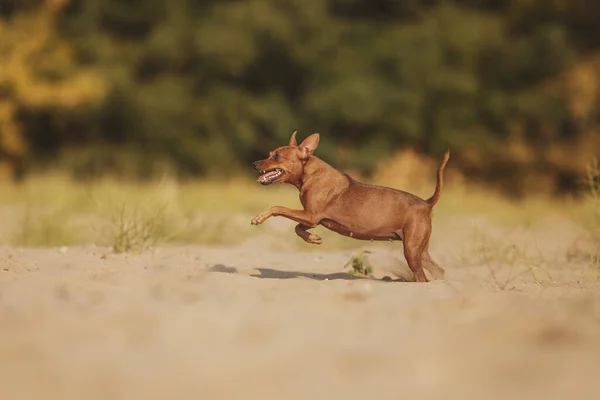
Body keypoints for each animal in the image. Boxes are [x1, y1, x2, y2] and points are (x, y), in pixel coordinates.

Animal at [250, 131, 450, 282]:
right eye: (270, 153)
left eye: (276, 156)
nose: (254, 163)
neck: (310, 174)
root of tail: (426, 203)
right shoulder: (314, 219)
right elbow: (297, 228)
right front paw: (313, 238)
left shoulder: (311, 216)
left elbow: (278, 208)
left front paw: (259, 217)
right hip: (419, 249)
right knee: (438, 272)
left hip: (411, 250)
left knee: (422, 278)